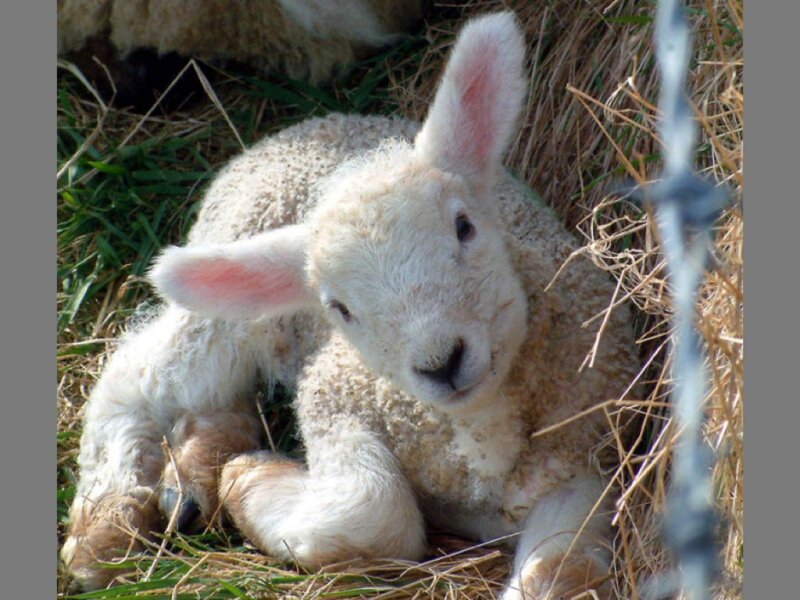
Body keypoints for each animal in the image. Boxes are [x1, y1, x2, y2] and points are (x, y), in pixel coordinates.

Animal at [60, 12, 640, 598]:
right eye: (338, 308)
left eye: (464, 226)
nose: (441, 362)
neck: (479, 426)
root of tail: (306, 128)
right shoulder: (333, 399)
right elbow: (377, 513)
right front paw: (250, 479)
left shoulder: (586, 454)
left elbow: (559, 572)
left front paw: (234, 473)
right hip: (233, 290)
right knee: (140, 375)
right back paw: (105, 528)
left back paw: (198, 463)